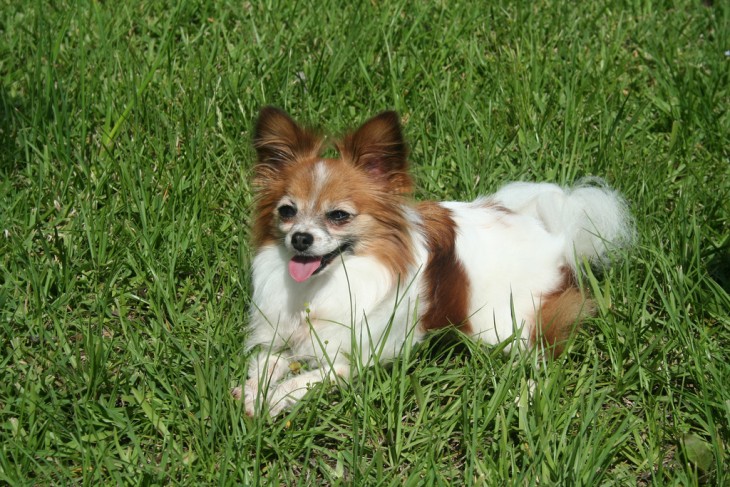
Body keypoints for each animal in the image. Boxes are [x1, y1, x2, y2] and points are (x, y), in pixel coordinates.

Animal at [233, 108, 632, 418]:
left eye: (339, 216)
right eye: (287, 211)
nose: (300, 238)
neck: (326, 283)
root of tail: (553, 233)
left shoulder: (351, 360)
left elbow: (303, 380)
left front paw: (272, 399)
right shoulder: (284, 336)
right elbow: (267, 361)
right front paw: (253, 389)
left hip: (503, 325)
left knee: (541, 356)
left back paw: (528, 393)